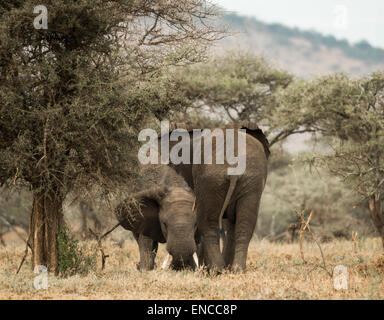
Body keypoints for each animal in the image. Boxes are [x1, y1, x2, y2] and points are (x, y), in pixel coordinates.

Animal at [158, 120, 268, 272]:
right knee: (244, 224)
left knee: (207, 222)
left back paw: (217, 271)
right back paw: (237, 270)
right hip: (250, 179)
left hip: (210, 179)